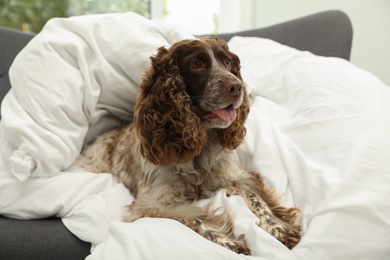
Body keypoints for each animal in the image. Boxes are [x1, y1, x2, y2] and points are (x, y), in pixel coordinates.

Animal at [77, 36, 300, 254]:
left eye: (227, 62)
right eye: (196, 64)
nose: (237, 87)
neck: (198, 150)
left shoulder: (237, 176)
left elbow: (257, 199)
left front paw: (278, 229)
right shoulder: (150, 205)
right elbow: (194, 218)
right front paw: (228, 242)